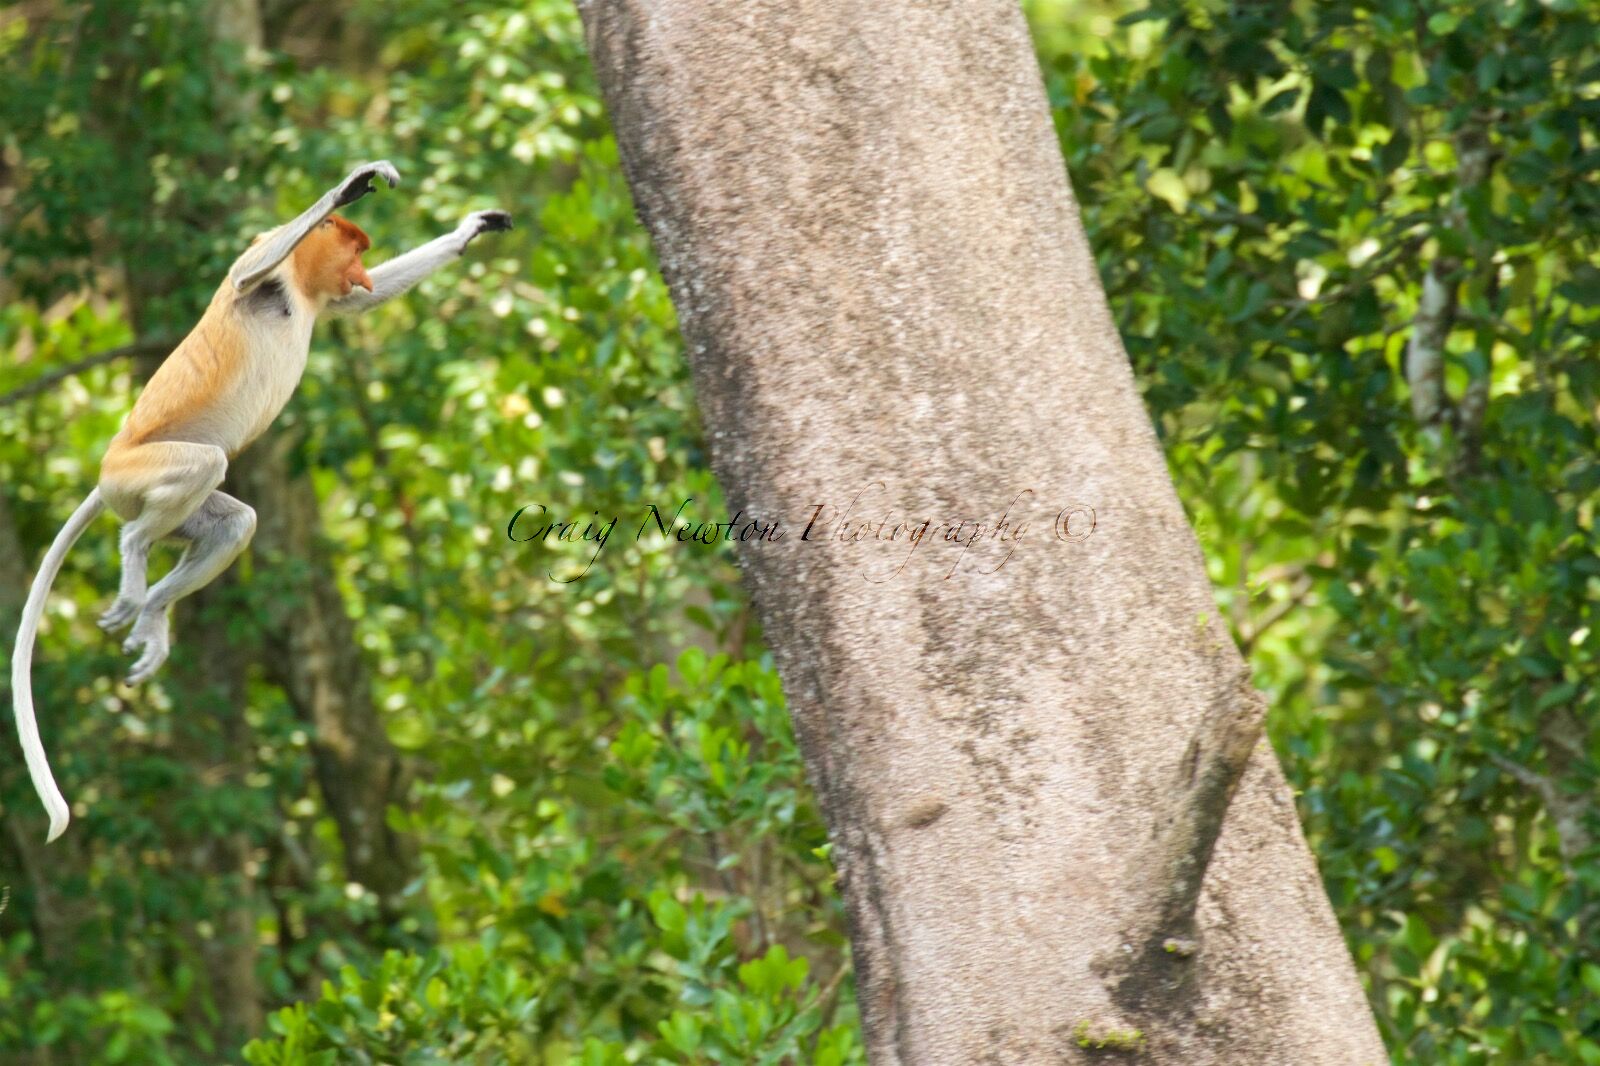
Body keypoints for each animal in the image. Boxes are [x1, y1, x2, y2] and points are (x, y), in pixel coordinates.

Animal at [11, 160, 513, 841]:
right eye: (356, 248)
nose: (360, 272)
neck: (298, 288)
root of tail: (105, 472)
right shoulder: (264, 264)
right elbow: (250, 268)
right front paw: (353, 185)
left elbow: (361, 306)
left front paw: (473, 228)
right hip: (135, 476)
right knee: (201, 473)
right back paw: (135, 558)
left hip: (155, 498)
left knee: (237, 523)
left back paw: (153, 616)